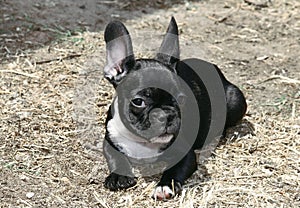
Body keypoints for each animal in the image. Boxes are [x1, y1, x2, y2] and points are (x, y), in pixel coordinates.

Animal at [101, 16, 246, 200]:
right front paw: (119, 176)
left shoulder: (185, 154)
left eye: (182, 98)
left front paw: (164, 186)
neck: (144, 142)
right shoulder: (109, 140)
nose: (166, 115)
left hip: (236, 100)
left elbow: (175, 169)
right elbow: (114, 157)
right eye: (138, 102)